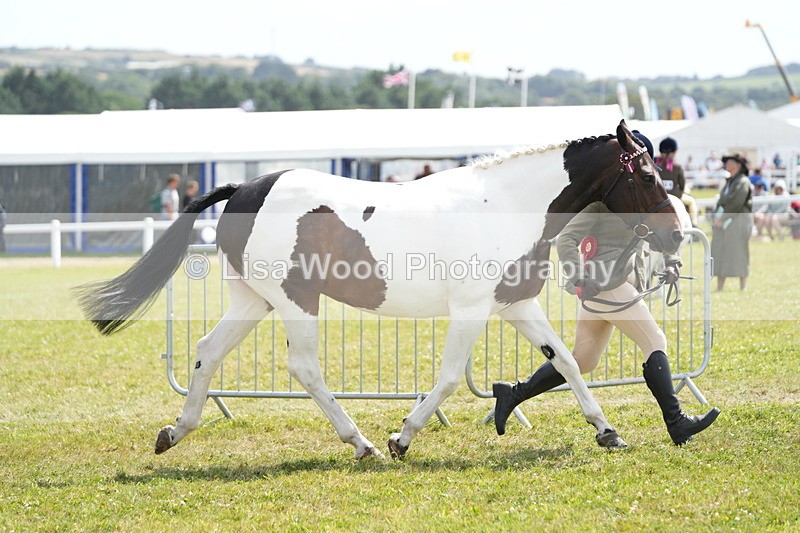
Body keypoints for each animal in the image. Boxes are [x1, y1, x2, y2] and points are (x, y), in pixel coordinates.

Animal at [76, 120, 684, 460]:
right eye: (647, 174)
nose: (677, 234)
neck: (505, 204)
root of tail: (246, 186)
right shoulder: (471, 310)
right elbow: (448, 379)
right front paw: (402, 438)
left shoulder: (515, 304)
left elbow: (568, 363)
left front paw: (607, 432)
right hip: (295, 300)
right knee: (305, 368)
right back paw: (362, 443)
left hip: (255, 299)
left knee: (206, 352)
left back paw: (174, 433)